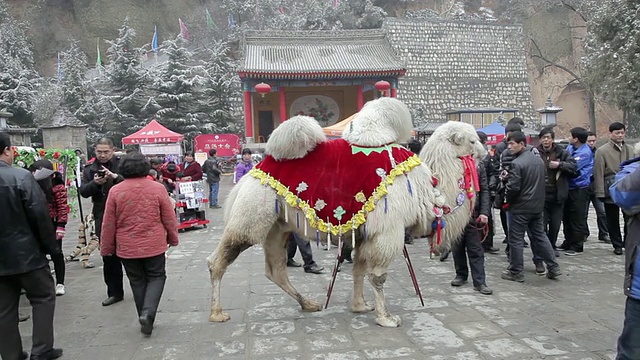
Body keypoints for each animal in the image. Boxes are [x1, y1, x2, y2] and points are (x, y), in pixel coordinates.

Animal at [208, 97, 482, 326]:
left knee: (275, 270)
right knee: (219, 259)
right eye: (471, 140)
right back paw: (217, 313)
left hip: (277, 228)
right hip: (251, 215)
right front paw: (387, 318)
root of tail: (250, 174)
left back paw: (309, 304)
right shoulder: (388, 230)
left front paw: (360, 306)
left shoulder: (363, 233)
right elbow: (378, 276)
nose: (481, 151)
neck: (426, 189)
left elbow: (359, 269)